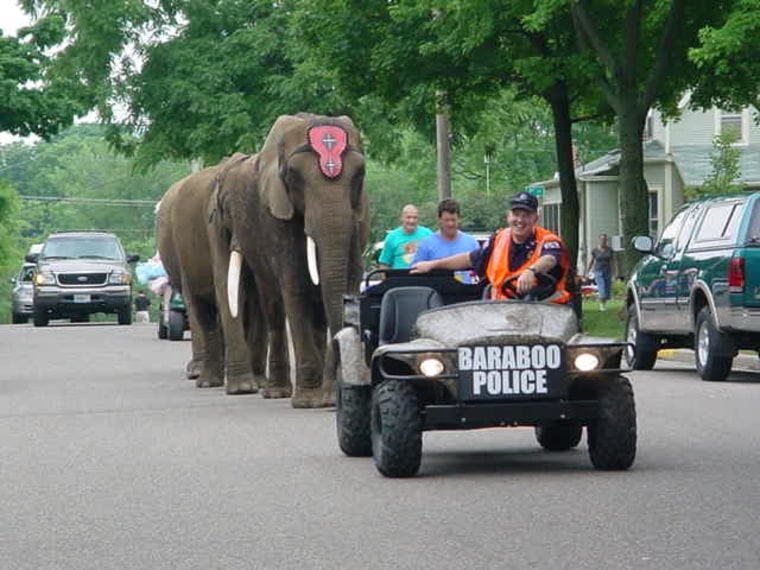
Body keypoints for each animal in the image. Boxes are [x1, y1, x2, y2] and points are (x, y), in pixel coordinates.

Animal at [156, 158, 290, 392]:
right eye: (227, 210)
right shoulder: (214, 225)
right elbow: (225, 284)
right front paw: (243, 388)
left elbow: (254, 296)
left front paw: (257, 384)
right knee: (197, 305)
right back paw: (203, 377)